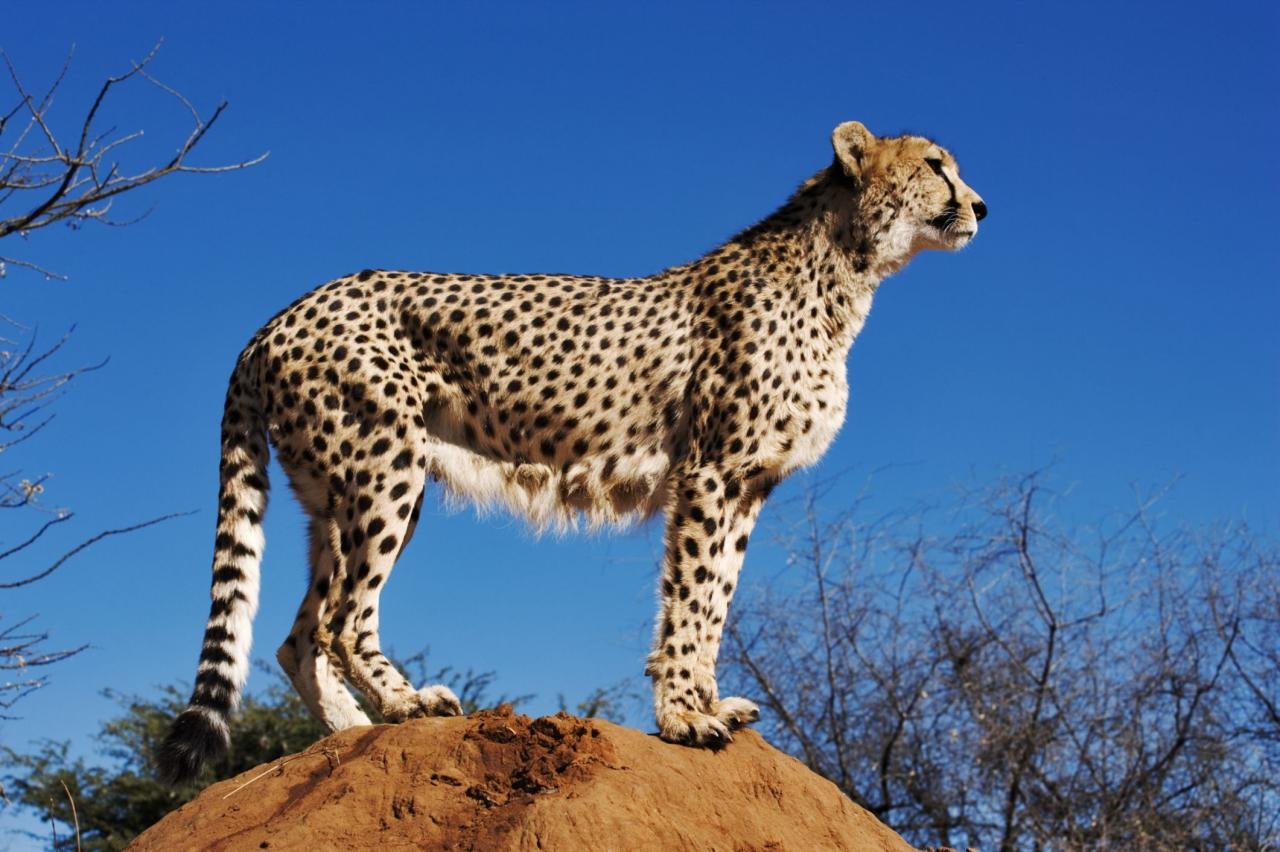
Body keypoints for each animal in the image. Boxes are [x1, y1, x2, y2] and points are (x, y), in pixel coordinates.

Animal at [158, 120, 985, 784]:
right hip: (386, 466)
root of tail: (277, 316)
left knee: (298, 637)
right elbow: (689, 600)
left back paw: (348, 733)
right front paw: (684, 718)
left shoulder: (750, 486)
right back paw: (407, 705)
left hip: (331, 496)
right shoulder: (709, 474)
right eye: (936, 164)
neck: (845, 269)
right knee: (342, 619)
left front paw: (708, 701)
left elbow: (717, 600)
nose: (981, 206)